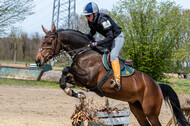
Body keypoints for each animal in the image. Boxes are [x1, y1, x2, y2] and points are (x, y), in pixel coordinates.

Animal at [35, 23, 189, 126]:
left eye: (49, 42)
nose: (37, 60)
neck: (85, 52)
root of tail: (157, 85)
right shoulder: (79, 79)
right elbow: (64, 77)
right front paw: (77, 94)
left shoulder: (88, 78)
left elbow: (66, 69)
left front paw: (78, 93)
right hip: (136, 108)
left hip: (150, 112)